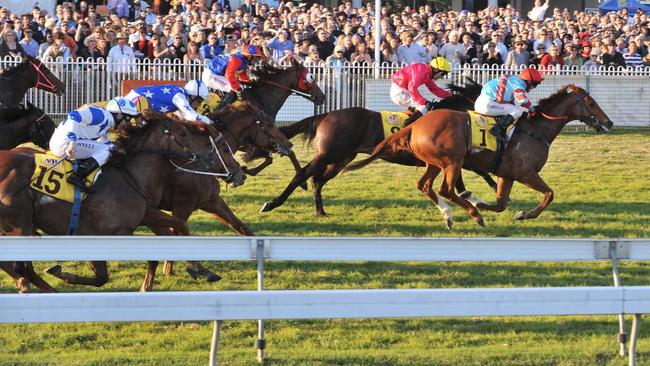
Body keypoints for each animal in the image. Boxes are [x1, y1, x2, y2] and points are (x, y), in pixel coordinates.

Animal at [0, 110, 243, 294]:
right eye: (182, 133)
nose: (239, 174)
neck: (131, 175)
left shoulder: (144, 215)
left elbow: (177, 228)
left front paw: (197, 269)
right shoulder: (109, 232)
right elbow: (102, 276)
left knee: (20, 265)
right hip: (19, 225)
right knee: (17, 265)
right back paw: (28, 286)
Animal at [344, 85, 612, 229]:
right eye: (591, 102)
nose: (608, 122)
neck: (536, 130)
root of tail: (415, 125)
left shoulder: (507, 174)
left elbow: (501, 203)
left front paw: (487, 205)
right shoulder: (526, 173)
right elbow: (549, 194)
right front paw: (524, 214)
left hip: (435, 163)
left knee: (425, 186)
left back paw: (454, 214)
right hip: (453, 162)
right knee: (445, 189)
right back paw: (473, 214)